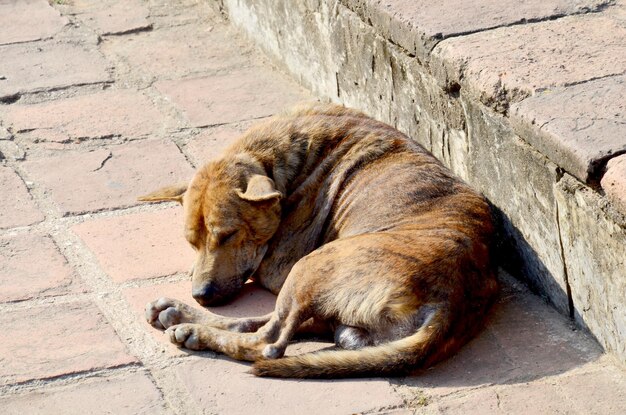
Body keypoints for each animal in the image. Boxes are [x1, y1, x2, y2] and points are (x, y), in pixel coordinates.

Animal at [139, 104, 494, 380]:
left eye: (228, 235)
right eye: (191, 242)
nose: (200, 295)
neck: (273, 156)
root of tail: (451, 304)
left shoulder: (276, 269)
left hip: (308, 267)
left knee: (266, 342)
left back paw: (195, 329)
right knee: (264, 324)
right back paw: (180, 316)